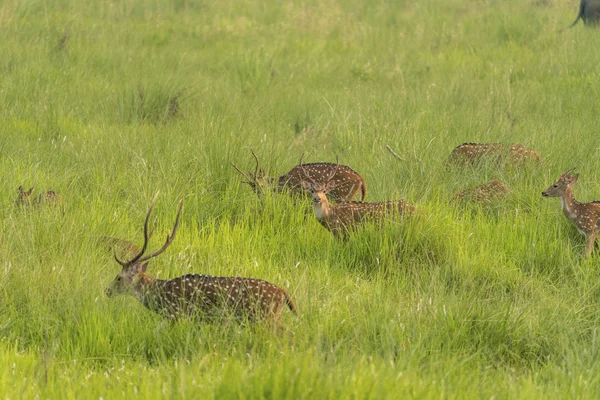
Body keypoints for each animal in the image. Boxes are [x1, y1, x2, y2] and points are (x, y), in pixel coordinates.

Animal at [107, 192, 298, 330]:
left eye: (118, 277)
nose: (107, 290)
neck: (160, 295)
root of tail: (283, 293)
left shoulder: (177, 313)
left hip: (264, 316)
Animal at [233, 152, 366, 205]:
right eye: (254, 189)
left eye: (261, 185)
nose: (262, 200)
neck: (286, 182)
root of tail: (361, 179)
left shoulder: (297, 194)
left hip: (342, 196)